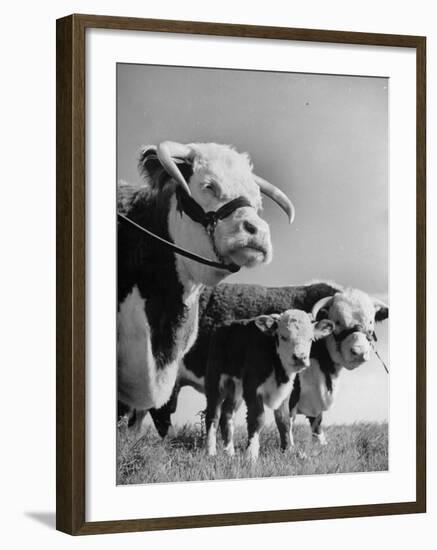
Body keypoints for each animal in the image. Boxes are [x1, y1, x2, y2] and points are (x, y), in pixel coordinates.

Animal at [204, 310, 334, 462]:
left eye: (310, 339)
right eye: (283, 337)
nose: (300, 358)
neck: (278, 370)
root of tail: (224, 325)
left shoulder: (285, 392)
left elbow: (284, 420)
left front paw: (288, 450)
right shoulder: (252, 389)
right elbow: (257, 419)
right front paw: (251, 454)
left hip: (236, 388)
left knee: (227, 413)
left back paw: (229, 452)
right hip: (215, 382)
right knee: (213, 414)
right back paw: (211, 451)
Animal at [272, 288, 388, 448]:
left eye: (370, 321)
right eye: (338, 321)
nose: (359, 352)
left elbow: (317, 420)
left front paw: (320, 445)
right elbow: (286, 418)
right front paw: (290, 448)